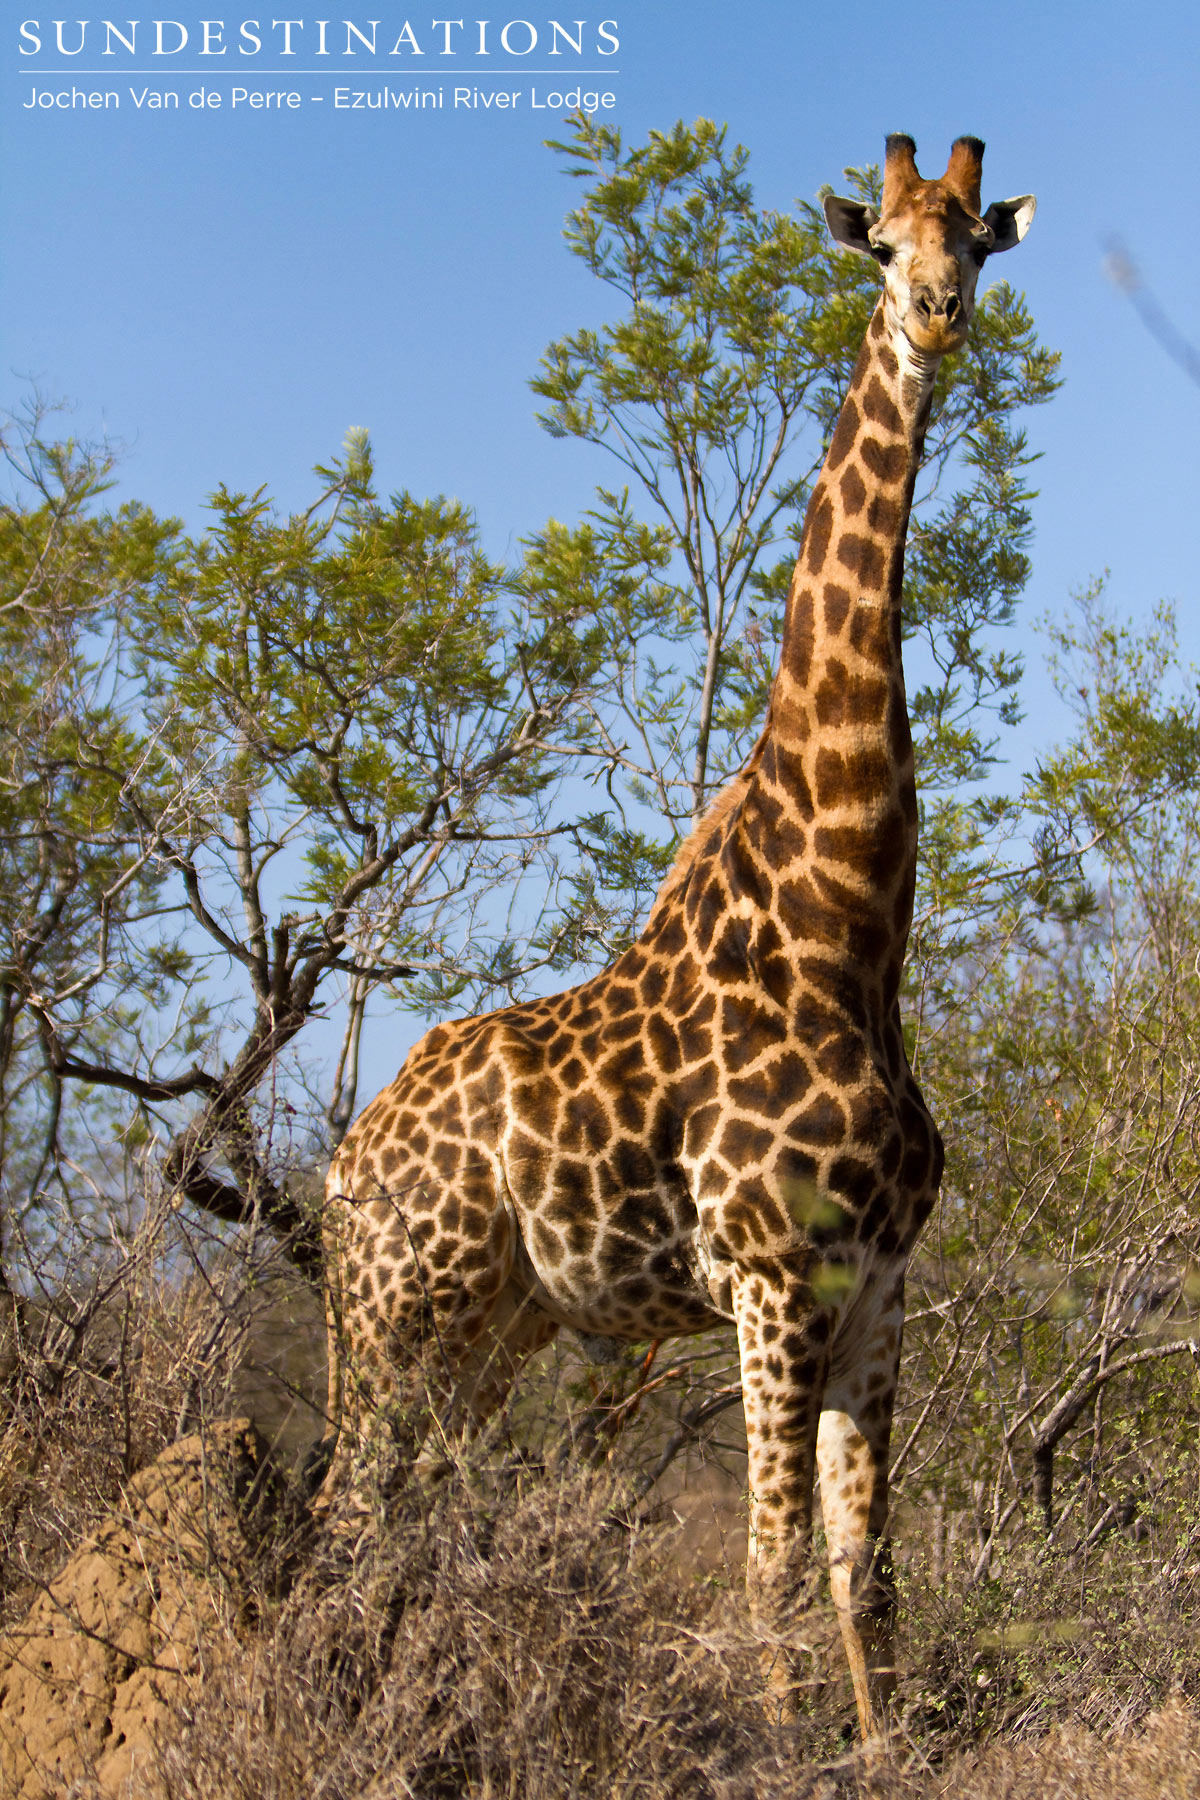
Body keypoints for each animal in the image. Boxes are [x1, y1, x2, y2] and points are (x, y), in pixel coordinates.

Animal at [318, 134, 1036, 1737]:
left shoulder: (878, 1284)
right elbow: (767, 1575)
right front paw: (784, 1749)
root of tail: (340, 1167)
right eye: (879, 245)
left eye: (976, 237)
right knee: (340, 1530)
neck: (846, 922)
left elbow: (863, 1573)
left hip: (489, 1329)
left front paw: (875, 1755)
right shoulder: (769, 1281)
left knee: (405, 1526)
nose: (941, 314)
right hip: (394, 1319)